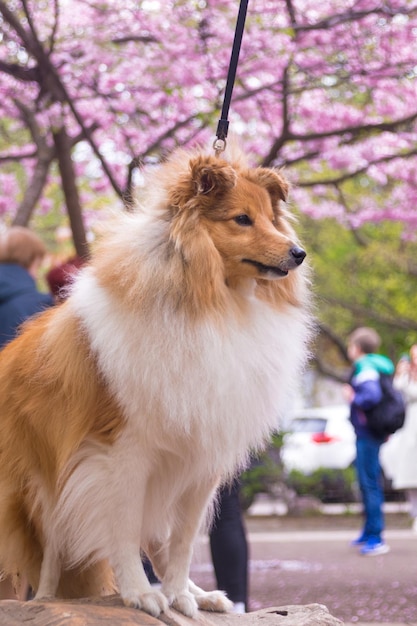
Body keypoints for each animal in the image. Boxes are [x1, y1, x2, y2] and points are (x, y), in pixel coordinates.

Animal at [0, 145, 308, 616]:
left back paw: (201, 595)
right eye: (241, 219)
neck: (215, 302)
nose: (298, 254)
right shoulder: (121, 452)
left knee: (160, 541)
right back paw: (50, 600)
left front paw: (180, 594)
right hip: (44, 484)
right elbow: (124, 530)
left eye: (270, 219)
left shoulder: (203, 455)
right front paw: (140, 594)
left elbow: (181, 541)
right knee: (52, 553)